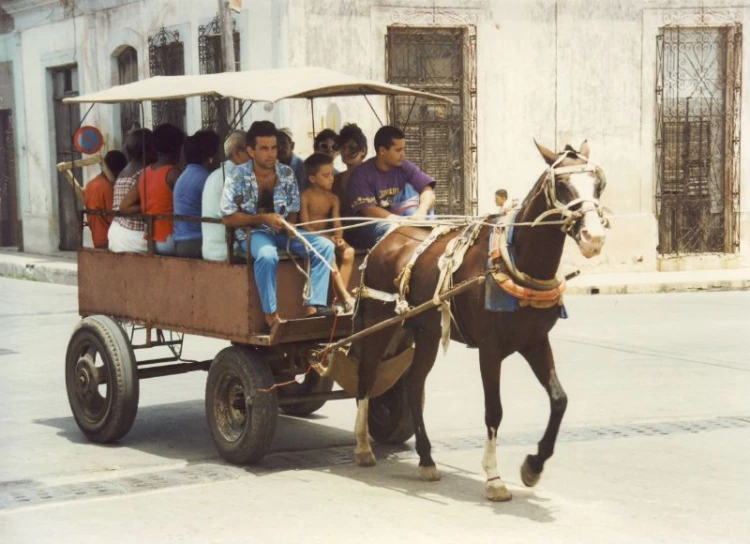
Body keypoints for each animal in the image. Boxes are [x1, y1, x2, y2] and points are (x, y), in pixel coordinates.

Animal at [350, 140, 608, 502]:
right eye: (561, 185)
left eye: (598, 184)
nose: (593, 237)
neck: (516, 261)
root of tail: (387, 239)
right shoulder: (490, 349)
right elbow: (494, 409)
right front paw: (494, 478)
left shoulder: (535, 342)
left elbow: (559, 400)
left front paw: (533, 467)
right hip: (378, 323)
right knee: (367, 376)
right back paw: (362, 447)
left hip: (426, 331)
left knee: (414, 386)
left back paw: (427, 459)